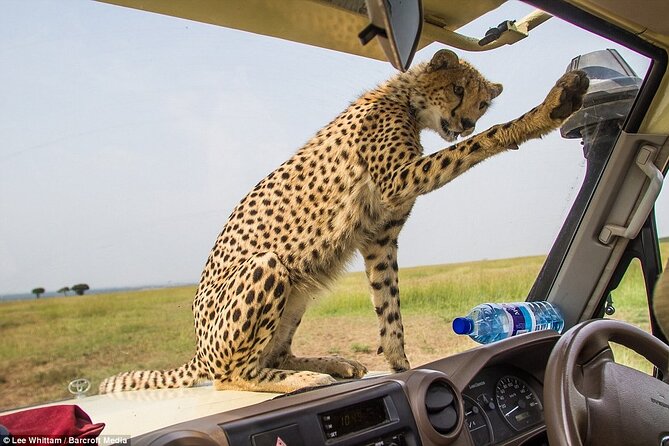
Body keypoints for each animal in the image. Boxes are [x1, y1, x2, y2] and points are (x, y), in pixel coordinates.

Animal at [100, 49, 588, 394]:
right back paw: (301, 380)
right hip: (268, 267)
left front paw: (403, 367)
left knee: (274, 355)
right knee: (232, 374)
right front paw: (543, 113)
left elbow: (388, 306)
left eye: (482, 101)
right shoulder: (398, 180)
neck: (405, 101)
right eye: (456, 89)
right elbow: (478, 145)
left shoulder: (379, 237)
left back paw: (333, 363)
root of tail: (197, 351)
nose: (467, 120)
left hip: (297, 293)